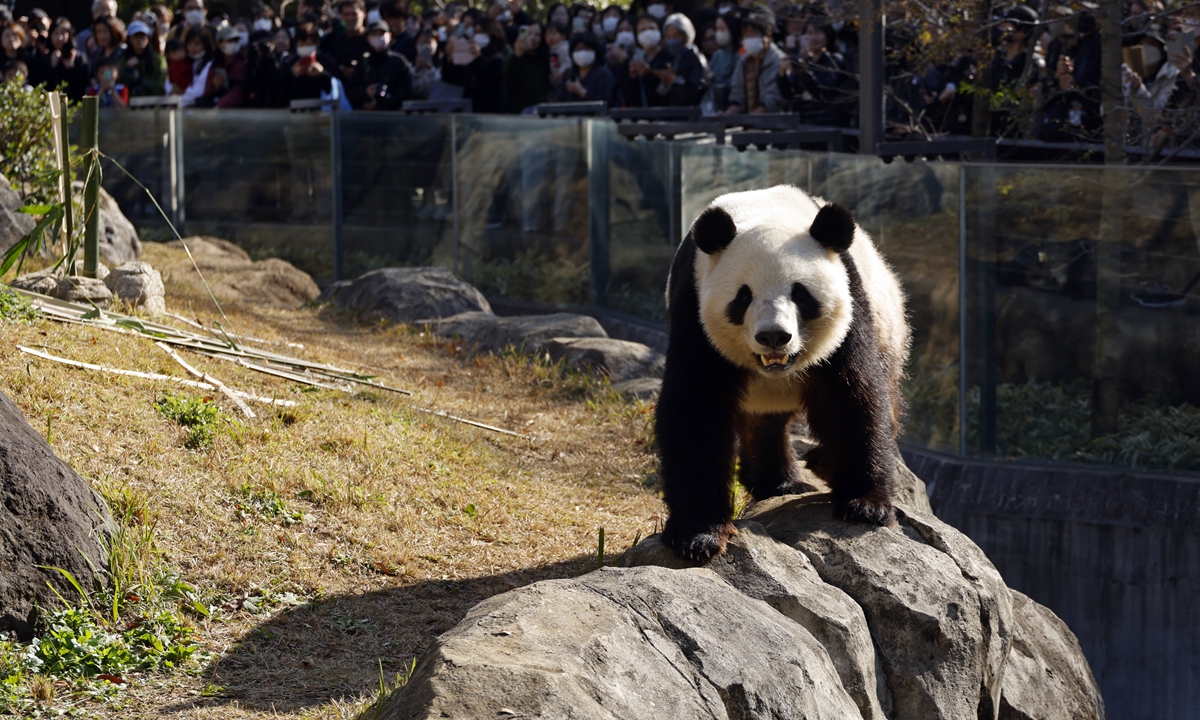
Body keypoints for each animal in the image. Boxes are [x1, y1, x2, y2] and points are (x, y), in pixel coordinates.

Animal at [656, 185, 910, 561]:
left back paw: (807, 471)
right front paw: (699, 535)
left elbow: (851, 395)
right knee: (765, 423)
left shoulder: (851, 309)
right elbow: (694, 408)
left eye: (800, 293)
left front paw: (866, 505)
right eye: (743, 296)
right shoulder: (693, 309)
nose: (774, 336)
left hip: (889, 330)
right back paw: (777, 481)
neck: (765, 212)